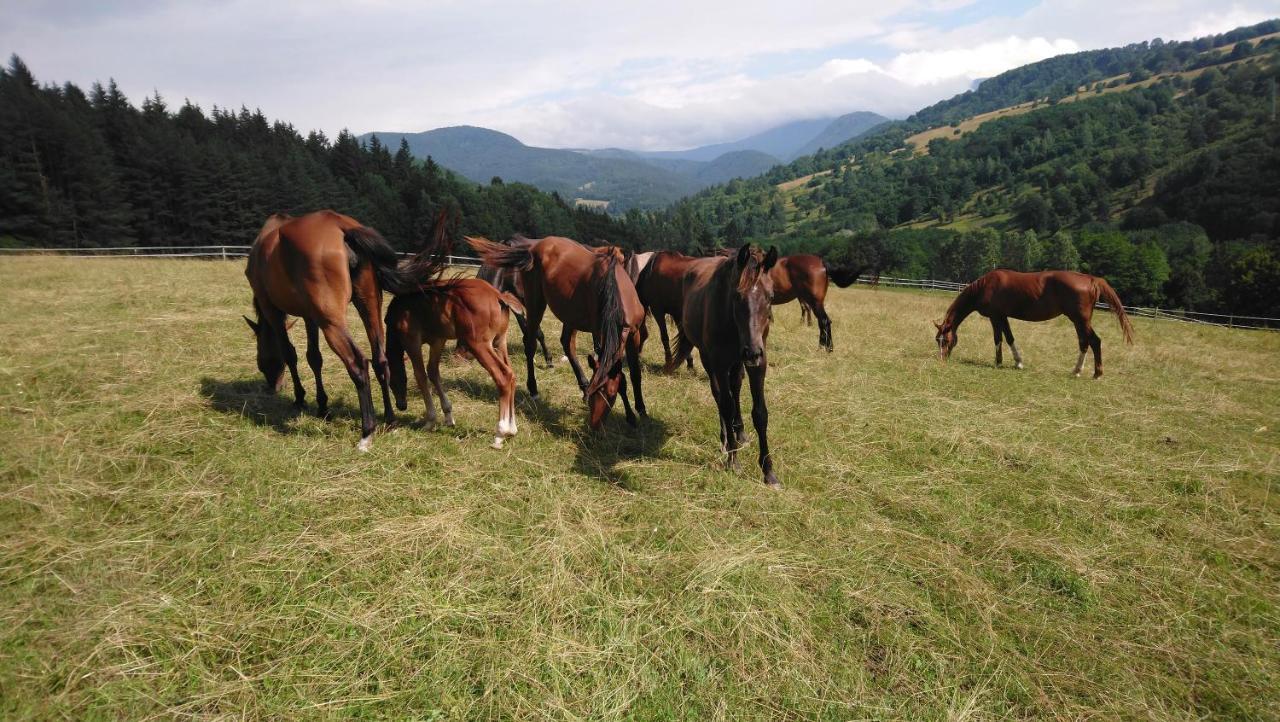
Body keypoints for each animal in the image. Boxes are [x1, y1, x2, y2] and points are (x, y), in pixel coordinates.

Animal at [235, 207, 424, 450]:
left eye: (262, 361)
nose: (273, 385)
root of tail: (340, 225)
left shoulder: (272, 311)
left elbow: (289, 354)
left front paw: (300, 398)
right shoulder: (309, 316)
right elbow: (314, 358)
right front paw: (322, 406)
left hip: (331, 322)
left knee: (358, 363)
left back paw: (367, 431)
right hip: (369, 307)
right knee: (380, 360)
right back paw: (390, 420)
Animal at [381, 279, 522, 448]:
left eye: (391, 383)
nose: (401, 405)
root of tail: (498, 296)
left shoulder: (411, 340)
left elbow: (420, 375)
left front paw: (430, 421)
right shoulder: (438, 340)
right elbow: (433, 371)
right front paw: (448, 416)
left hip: (478, 344)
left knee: (503, 377)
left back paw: (500, 433)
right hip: (500, 341)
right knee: (511, 374)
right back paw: (512, 429)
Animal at [465, 235, 650, 427]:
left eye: (610, 395)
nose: (594, 424)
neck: (615, 291)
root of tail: (534, 247)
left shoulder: (633, 334)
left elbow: (634, 374)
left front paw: (639, 410)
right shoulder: (600, 333)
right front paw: (630, 414)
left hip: (568, 313)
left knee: (566, 344)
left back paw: (580, 384)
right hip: (535, 302)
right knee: (531, 343)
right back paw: (534, 388)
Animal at [670, 245, 778, 489]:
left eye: (771, 297)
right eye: (737, 296)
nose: (752, 352)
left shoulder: (758, 364)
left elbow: (760, 413)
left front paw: (768, 472)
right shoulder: (719, 363)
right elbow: (726, 406)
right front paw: (733, 459)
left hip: (738, 362)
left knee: (735, 388)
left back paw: (740, 433)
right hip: (710, 359)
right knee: (720, 396)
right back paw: (725, 440)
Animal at [936, 266, 1136, 378]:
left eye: (945, 340)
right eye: (938, 340)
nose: (942, 358)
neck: (985, 286)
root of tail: (1091, 279)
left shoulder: (995, 316)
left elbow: (999, 339)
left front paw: (999, 362)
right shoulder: (1003, 316)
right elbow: (1009, 338)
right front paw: (1018, 362)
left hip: (1080, 320)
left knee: (1094, 341)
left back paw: (1097, 373)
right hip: (1079, 321)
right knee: (1084, 342)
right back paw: (1077, 371)